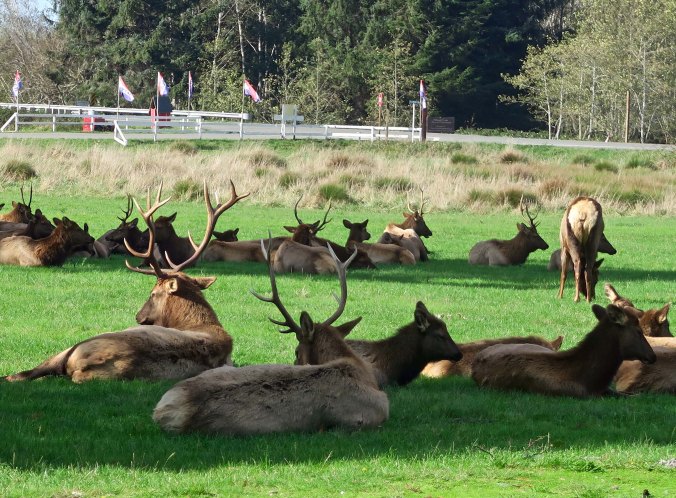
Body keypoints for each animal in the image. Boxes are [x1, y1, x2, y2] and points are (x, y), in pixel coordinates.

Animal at [5, 181, 249, 382]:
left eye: (152, 293)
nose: (138, 316)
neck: (198, 323)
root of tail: (82, 365)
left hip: (74, 346)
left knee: (20, 374)